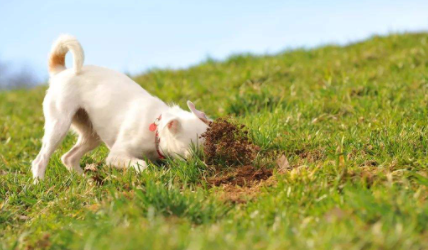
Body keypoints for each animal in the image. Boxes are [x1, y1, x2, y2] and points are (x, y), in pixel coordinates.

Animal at [30, 34, 210, 180]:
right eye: (192, 154)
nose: (206, 166)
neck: (156, 131)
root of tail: (61, 71)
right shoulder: (116, 155)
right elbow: (141, 164)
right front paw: (148, 172)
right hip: (59, 125)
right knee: (40, 160)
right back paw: (40, 182)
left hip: (91, 133)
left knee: (68, 158)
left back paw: (85, 180)